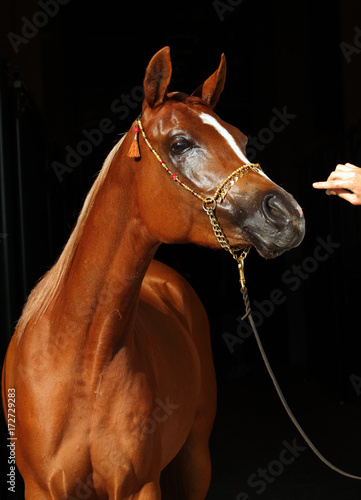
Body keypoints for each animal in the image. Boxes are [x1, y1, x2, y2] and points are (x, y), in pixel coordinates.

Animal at [2, 45, 304, 498]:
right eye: (180, 143)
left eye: (242, 139)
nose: (288, 216)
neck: (81, 363)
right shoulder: (42, 488)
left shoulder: (140, 485)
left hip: (196, 459)